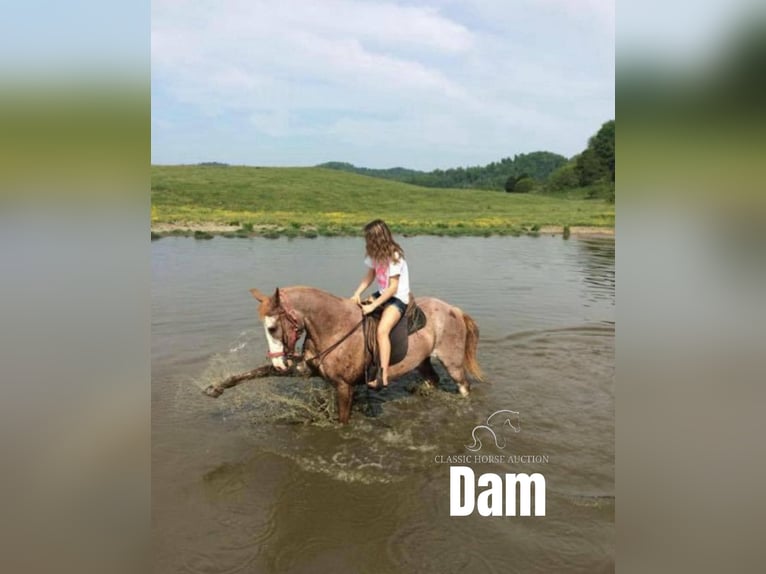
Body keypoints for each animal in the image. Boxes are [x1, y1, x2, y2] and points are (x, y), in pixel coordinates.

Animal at [249, 286, 484, 426]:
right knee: (433, 379)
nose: (279, 363)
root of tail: (453, 309)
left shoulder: (344, 386)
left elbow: (342, 420)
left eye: (272, 328)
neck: (335, 327)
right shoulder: (314, 373)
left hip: (452, 363)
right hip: (422, 361)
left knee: (463, 386)